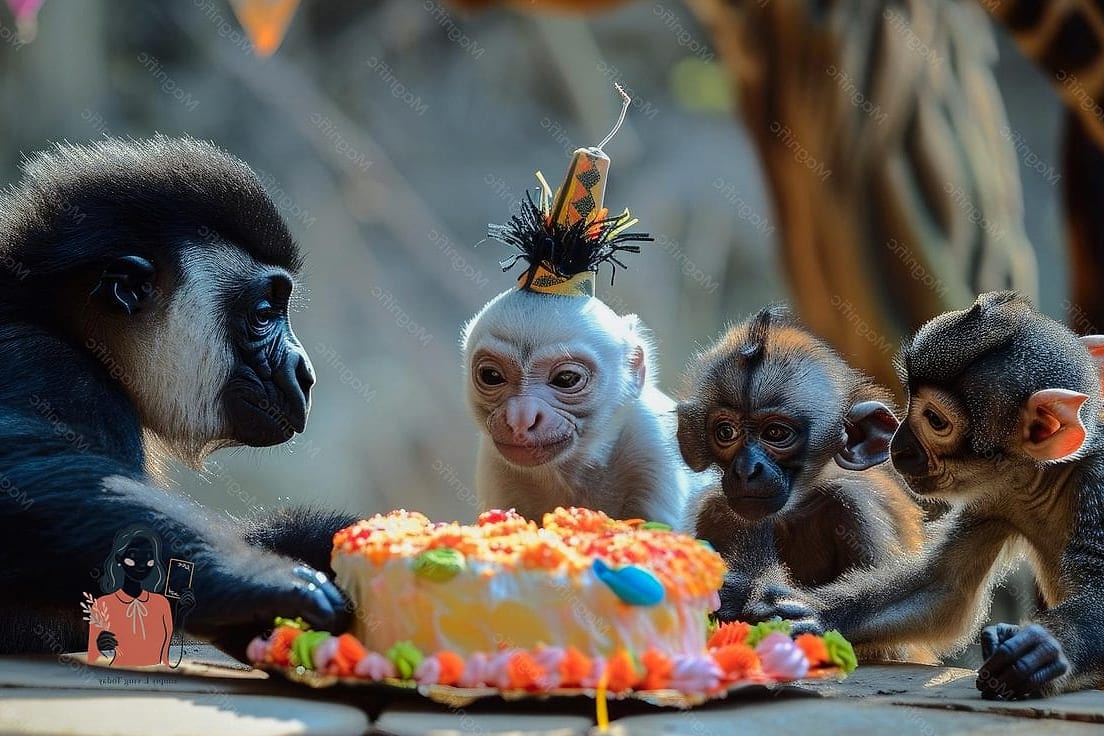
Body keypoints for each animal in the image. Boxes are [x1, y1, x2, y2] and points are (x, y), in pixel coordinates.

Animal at [677, 306, 928, 661]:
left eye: (775, 433)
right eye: (726, 432)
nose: (746, 469)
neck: (795, 510)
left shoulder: (855, 506)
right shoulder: (715, 510)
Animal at [764, 291, 1104, 698]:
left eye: (936, 421)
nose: (898, 447)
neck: (1047, 477)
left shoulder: (1096, 485)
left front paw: (1043, 649)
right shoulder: (996, 494)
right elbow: (943, 591)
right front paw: (812, 619)